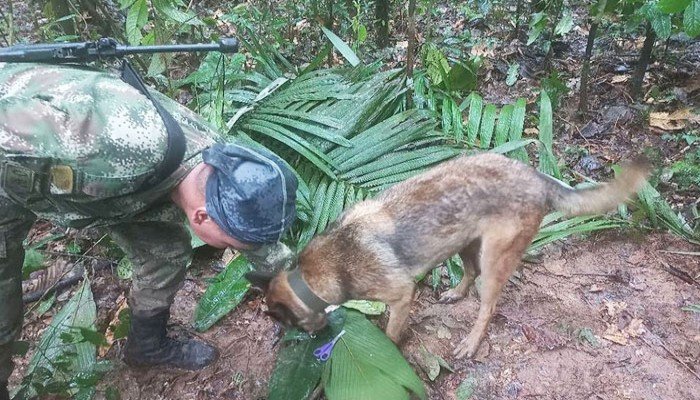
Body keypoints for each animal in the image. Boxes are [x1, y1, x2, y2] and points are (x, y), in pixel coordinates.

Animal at [247, 153, 652, 360]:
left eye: (286, 323)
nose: (311, 341)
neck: (315, 274)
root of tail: (538, 177)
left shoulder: (400, 296)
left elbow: (391, 333)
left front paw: (388, 349)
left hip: (493, 259)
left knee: (488, 306)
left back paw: (471, 343)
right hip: (465, 242)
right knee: (468, 273)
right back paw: (456, 293)